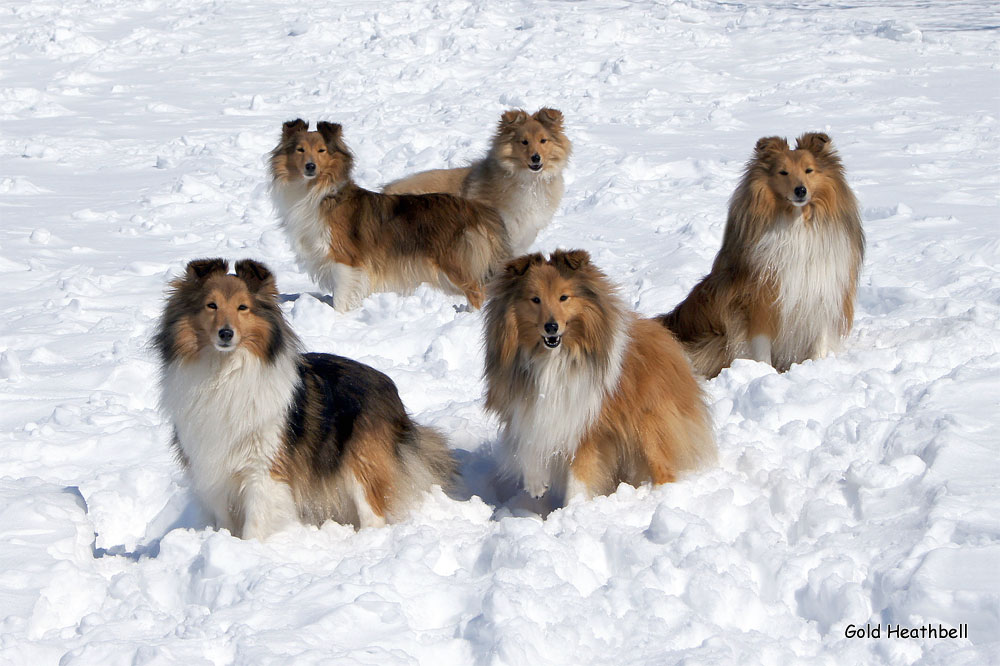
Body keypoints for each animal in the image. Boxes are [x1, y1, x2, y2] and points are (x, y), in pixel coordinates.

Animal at [154, 256, 456, 536]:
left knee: (374, 514)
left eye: (243, 307)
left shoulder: (264, 469)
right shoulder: (212, 471)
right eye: (211, 305)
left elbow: (254, 526)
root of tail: (388, 384)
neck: (224, 372)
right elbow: (225, 522)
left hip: (362, 463)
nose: (226, 334)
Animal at [268, 120, 508, 312]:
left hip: (454, 263)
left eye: (321, 150)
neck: (318, 193)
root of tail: (475, 208)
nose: (310, 167)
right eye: (300, 150)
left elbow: (341, 298)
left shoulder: (345, 261)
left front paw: (339, 318)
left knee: (477, 292)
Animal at [482, 250, 712, 504]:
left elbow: (579, 476)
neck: (553, 359)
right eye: (535, 299)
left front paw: (574, 507)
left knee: (663, 469)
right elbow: (529, 445)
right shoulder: (525, 409)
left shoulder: (586, 425)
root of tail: (671, 342)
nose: (551, 327)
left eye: (564, 297)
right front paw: (536, 486)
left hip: (650, 426)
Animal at [660, 132, 864, 376]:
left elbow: (819, 339)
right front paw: (763, 371)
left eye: (809, 170)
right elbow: (761, 344)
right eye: (783, 172)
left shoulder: (821, 292)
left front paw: (816, 365)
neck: (795, 224)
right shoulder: (758, 300)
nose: (800, 191)